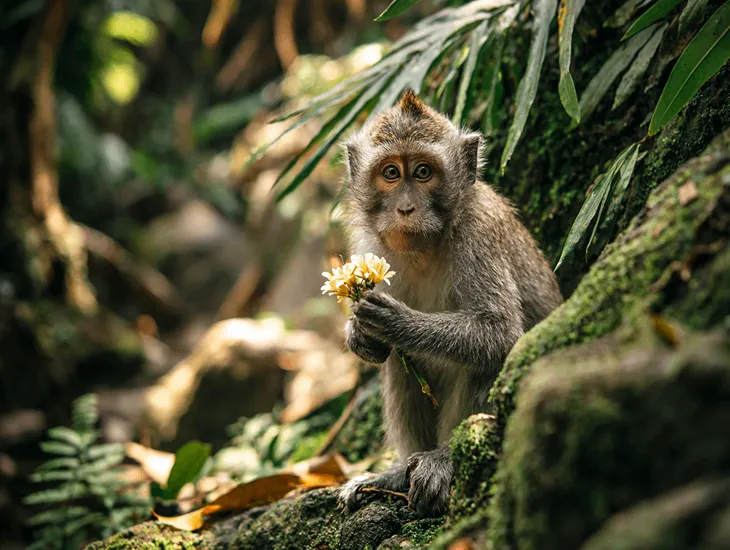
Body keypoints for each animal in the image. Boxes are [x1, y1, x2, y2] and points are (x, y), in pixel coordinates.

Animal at [336, 88, 563, 517]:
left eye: (424, 172)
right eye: (391, 174)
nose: (405, 208)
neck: (426, 248)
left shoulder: (479, 234)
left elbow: (499, 331)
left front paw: (395, 322)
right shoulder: (370, 243)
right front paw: (359, 333)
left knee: (487, 356)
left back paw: (444, 458)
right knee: (400, 364)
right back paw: (398, 471)